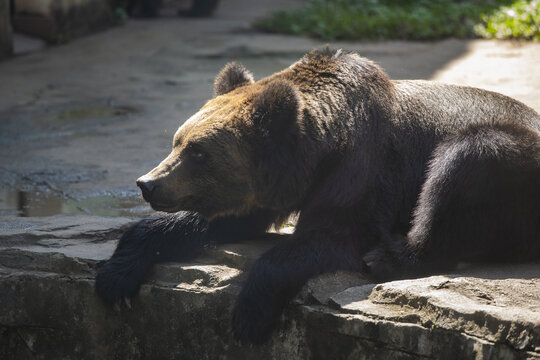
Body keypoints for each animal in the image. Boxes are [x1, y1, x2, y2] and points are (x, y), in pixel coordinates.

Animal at [96, 47, 540, 344]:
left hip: (517, 165)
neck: (320, 150)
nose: (148, 183)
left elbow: (331, 237)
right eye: (178, 141)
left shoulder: (362, 170)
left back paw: (390, 257)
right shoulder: (270, 190)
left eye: (198, 152)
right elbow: (216, 219)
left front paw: (248, 317)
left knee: (469, 157)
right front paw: (115, 276)